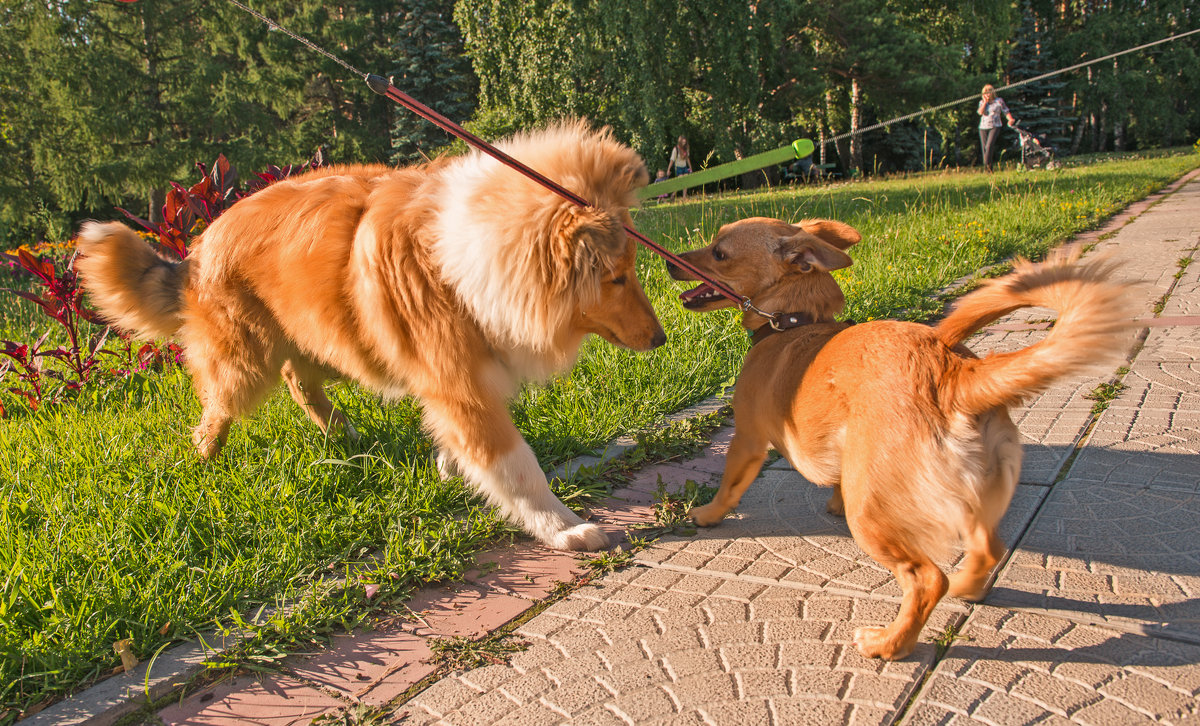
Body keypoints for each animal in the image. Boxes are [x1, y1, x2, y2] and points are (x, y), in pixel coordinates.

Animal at [77, 120, 667, 549]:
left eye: (631, 268)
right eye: (615, 278)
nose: (661, 340)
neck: (470, 251)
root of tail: (197, 249)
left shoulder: (451, 377)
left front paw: (448, 465)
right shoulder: (463, 389)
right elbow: (519, 468)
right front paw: (564, 528)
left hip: (335, 338)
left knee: (299, 381)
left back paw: (345, 435)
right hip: (246, 361)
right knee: (218, 408)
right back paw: (203, 461)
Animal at [667, 218, 1132, 657]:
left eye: (719, 252)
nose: (670, 262)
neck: (792, 323)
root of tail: (953, 374)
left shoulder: (747, 439)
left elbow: (729, 487)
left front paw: (707, 514)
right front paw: (832, 499)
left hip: (872, 515)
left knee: (926, 580)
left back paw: (889, 643)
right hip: (978, 494)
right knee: (988, 549)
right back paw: (968, 587)